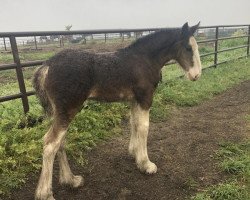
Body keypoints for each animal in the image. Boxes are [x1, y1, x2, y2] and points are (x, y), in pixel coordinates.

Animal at [32, 22, 201, 199]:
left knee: (60, 142)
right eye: (188, 48)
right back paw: (45, 194)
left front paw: (134, 153)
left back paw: (71, 180)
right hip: (68, 109)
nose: (196, 75)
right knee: (50, 144)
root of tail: (47, 66)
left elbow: (134, 123)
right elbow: (144, 127)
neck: (144, 59)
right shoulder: (145, 98)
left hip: (60, 112)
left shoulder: (134, 100)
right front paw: (146, 164)